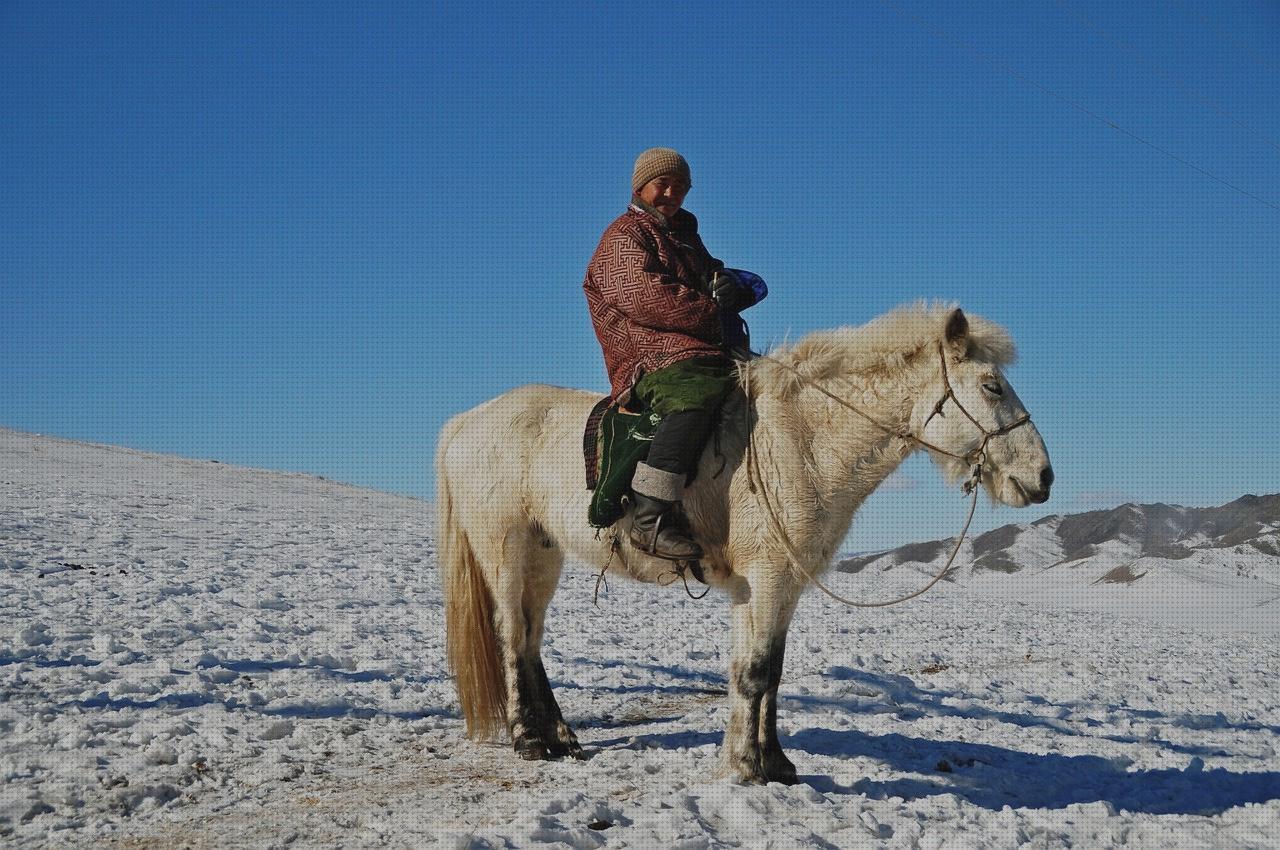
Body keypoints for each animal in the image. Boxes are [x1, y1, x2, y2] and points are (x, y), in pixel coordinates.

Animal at [435, 303, 1054, 783]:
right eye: (992, 386)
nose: (1043, 477)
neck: (803, 440)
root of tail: (465, 422)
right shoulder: (769, 576)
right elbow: (754, 672)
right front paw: (748, 769)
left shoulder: (774, 585)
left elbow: (764, 671)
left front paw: (768, 762)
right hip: (505, 549)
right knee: (510, 634)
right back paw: (529, 740)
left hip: (546, 553)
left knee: (531, 637)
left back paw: (562, 735)